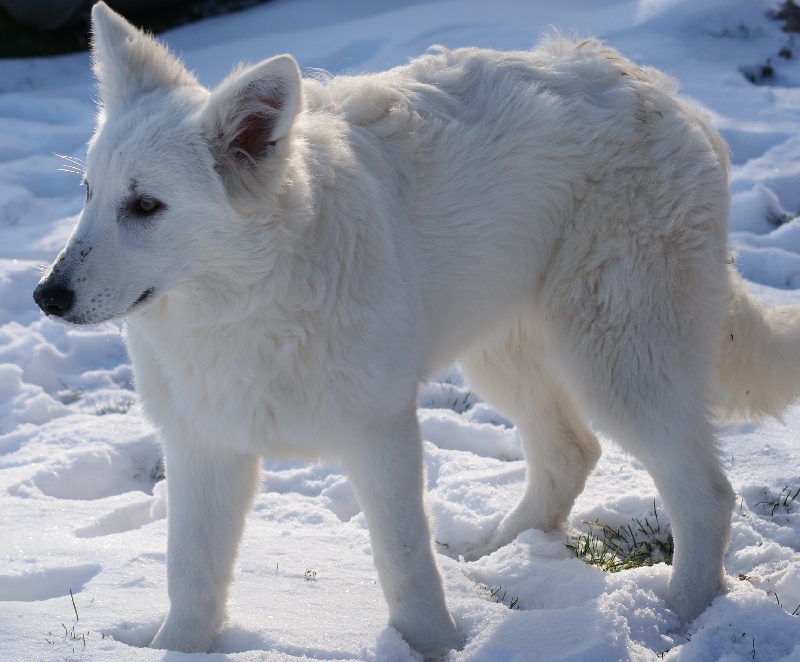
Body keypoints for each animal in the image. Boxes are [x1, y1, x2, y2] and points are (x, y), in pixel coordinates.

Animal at [34, 3, 800, 660]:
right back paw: (503, 554)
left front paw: (433, 649)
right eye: (89, 194)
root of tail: (664, 94)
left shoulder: (382, 436)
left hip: (618, 363)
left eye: (145, 206)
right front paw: (175, 652)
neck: (248, 306)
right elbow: (191, 576)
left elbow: (405, 566)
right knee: (570, 452)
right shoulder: (204, 447)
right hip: (506, 355)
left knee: (704, 495)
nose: (45, 297)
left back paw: (681, 619)